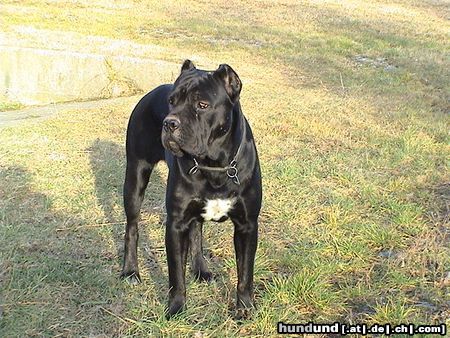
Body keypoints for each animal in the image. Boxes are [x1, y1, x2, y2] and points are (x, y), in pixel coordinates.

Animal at [121, 59, 262, 318]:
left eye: (202, 105)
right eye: (171, 101)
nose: (169, 123)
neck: (214, 164)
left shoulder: (247, 225)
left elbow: (245, 273)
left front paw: (245, 308)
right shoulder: (176, 224)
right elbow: (176, 274)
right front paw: (176, 308)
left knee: (197, 230)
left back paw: (201, 270)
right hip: (135, 176)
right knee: (132, 227)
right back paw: (130, 272)